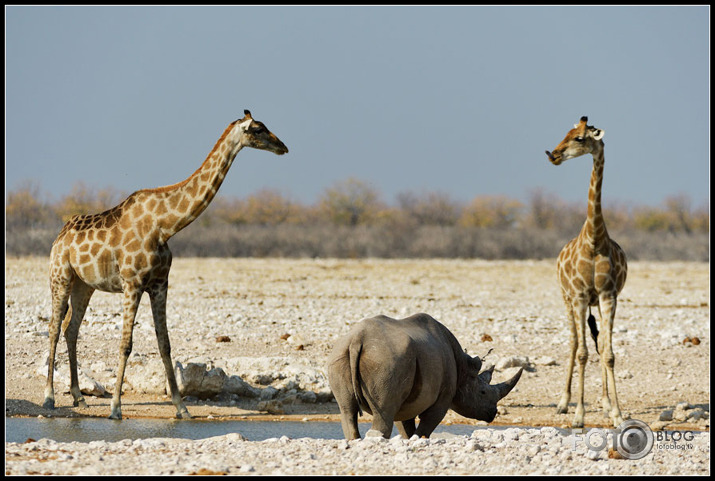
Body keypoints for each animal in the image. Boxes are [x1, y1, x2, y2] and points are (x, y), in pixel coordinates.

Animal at [44, 110, 288, 418]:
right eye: (257, 129)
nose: (283, 146)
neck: (166, 226)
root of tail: (59, 235)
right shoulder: (133, 283)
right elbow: (126, 344)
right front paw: (116, 408)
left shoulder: (160, 284)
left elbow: (165, 344)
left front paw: (182, 408)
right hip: (60, 276)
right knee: (54, 328)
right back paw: (49, 397)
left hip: (84, 285)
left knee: (71, 328)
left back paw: (78, 397)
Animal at [544, 117, 628, 428]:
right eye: (566, 133)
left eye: (580, 138)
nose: (554, 155)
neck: (594, 240)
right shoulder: (579, 296)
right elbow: (581, 353)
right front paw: (578, 415)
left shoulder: (608, 295)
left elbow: (609, 353)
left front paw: (616, 413)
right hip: (566, 299)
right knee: (573, 344)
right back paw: (563, 402)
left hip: (595, 303)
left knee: (598, 344)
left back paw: (604, 403)